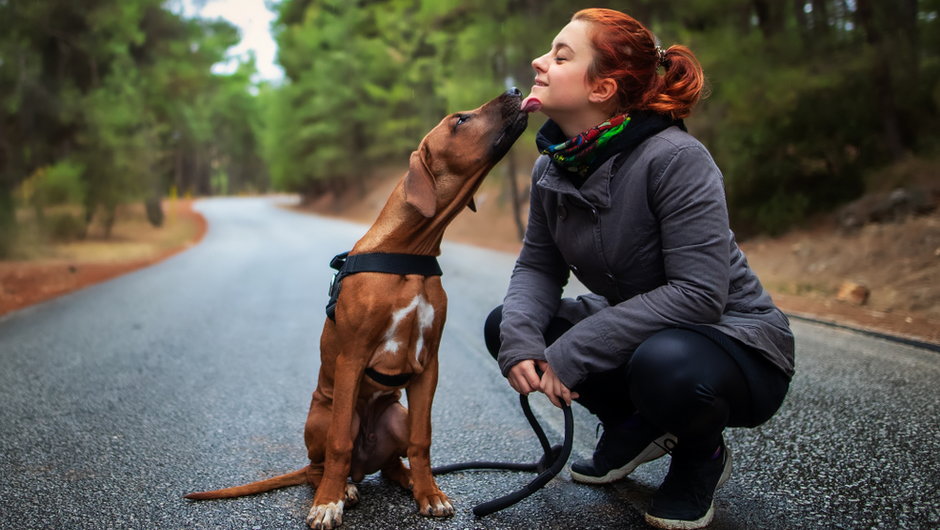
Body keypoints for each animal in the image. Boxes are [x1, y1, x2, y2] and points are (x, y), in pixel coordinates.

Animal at [184, 88, 528, 524]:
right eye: (460, 121)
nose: (516, 90)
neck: (408, 251)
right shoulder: (351, 358)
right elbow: (338, 447)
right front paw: (327, 504)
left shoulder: (429, 364)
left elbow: (423, 441)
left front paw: (429, 493)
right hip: (324, 416)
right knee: (321, 464)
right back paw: (340, 488)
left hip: (396, 415)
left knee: (393, 462)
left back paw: (407, 479)